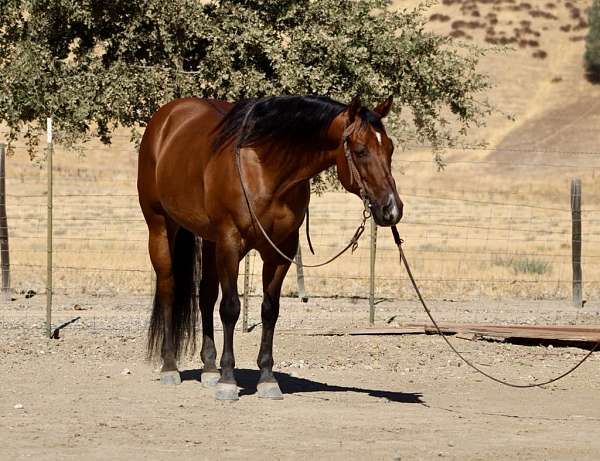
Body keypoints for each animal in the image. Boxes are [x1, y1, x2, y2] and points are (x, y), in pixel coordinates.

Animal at [138, 94, 404, 398]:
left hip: (209, 239)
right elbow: (230, 308)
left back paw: (209, 369)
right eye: (360, 151)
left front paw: (266, 378)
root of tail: (165, 118)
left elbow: (269, 310)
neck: (265, 169)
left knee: (205, 294)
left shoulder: (281, 251)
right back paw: (170, 366)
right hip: (161, 227)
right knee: (168, 289)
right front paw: (228, 380)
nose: (392, 210)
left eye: (390, 148)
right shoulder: (230, 244)